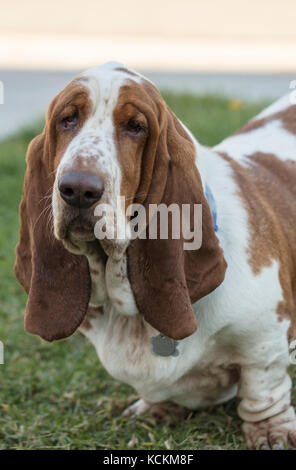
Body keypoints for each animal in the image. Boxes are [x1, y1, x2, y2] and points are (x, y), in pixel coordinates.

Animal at [14, 61, 296, 448]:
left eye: (135, 127)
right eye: (67, 120)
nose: (78, 189)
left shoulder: (264, 339)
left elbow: (262, 391)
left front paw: (271, 432)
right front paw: (157, 408)